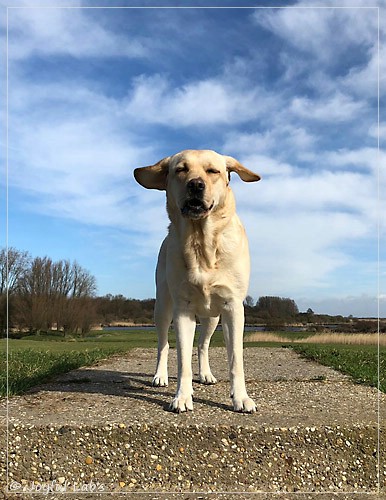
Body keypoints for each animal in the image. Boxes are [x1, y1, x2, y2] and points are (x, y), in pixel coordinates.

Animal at [134, 149, 260, 414]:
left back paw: (206, 375)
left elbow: (235, 359)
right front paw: (182, 397)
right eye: (181, 169)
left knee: (203, 345)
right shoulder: (183, 309)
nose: (195, 185)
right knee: (163, 344)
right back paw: (160, 376)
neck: (201, 241)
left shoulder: (233, 307)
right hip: (162, 307)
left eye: (213, 171)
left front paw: (241, 398)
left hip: (212, 318)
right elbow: (182, 359)